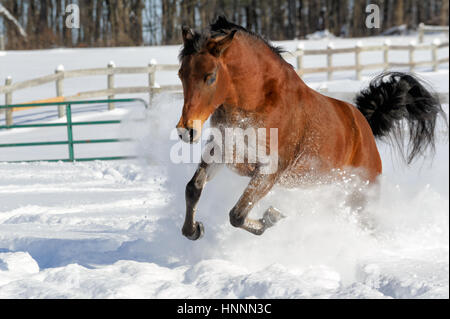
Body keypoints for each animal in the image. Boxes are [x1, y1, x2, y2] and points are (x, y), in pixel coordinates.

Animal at [175, 16, 442, 240]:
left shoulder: (270, 169)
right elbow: (192, 188)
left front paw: (271, 217)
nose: (186, 131)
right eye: (180, 74)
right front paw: (194, 229)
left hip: (360, 194)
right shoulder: (221, 152)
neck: (257, 102)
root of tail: (365, 127)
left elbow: (237, 215)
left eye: (210, 76)